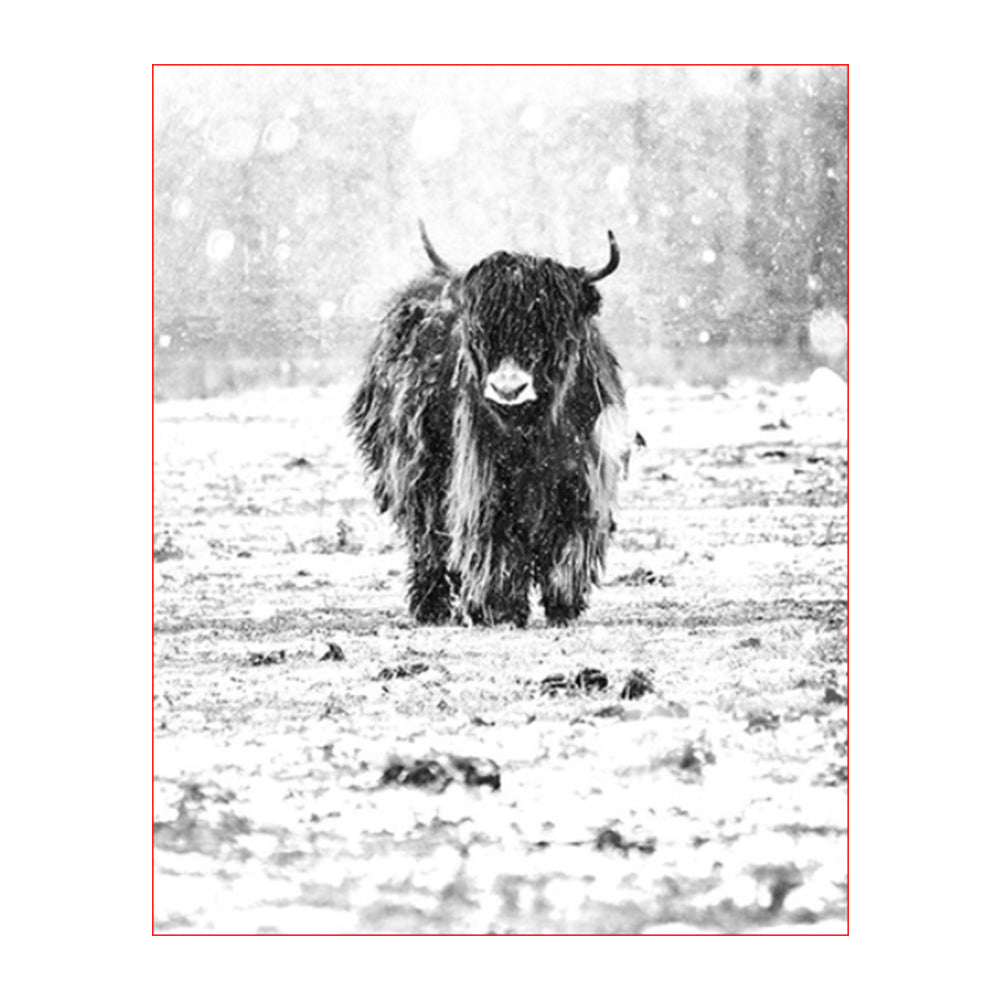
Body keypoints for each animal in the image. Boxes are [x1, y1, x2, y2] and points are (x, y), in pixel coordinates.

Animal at [348, 221, 626, 627]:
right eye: (481, 332)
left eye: (549, 329)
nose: (508, 389)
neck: (533, 430)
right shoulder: (483, 476)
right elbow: (494, 537)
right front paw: (500, 608)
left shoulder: (582, 474)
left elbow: (569, 536)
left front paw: (563, 605)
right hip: (415, 470)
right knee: (427, 537)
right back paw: (432, 607)